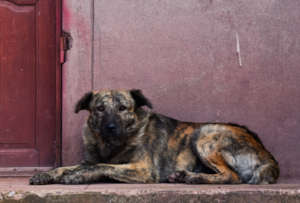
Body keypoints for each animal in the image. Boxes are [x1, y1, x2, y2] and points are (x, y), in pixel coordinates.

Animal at [29, 89, 280, 185]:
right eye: (99, 108)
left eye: (122, 108)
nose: (110, 127)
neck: (111, 145)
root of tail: (268, 154)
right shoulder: (88, 159)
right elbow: (67, 166)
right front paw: (47, 174)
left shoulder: (143, 169)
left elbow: (102, 166)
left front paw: (77, 176)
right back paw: (185, 176)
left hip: (205, 134)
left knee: (231, 176)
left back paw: (192, 178)